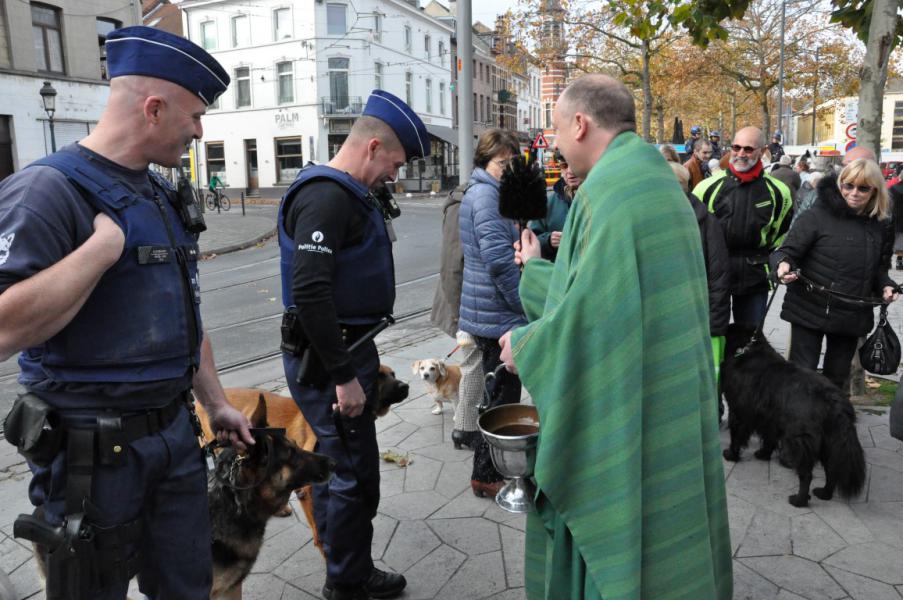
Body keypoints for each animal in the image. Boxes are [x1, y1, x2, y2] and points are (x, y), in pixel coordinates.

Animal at [720, 324, 868, 506]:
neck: (749, 349)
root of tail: (832, 399)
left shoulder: (738, 411)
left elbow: (736, 436)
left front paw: (731, 455)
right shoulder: (769, 419)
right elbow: (769, 439)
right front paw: (763, 454)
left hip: (800, 441)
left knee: (806, 475)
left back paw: (799, 500)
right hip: (830, 442)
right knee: (832, 469)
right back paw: (824, 493)